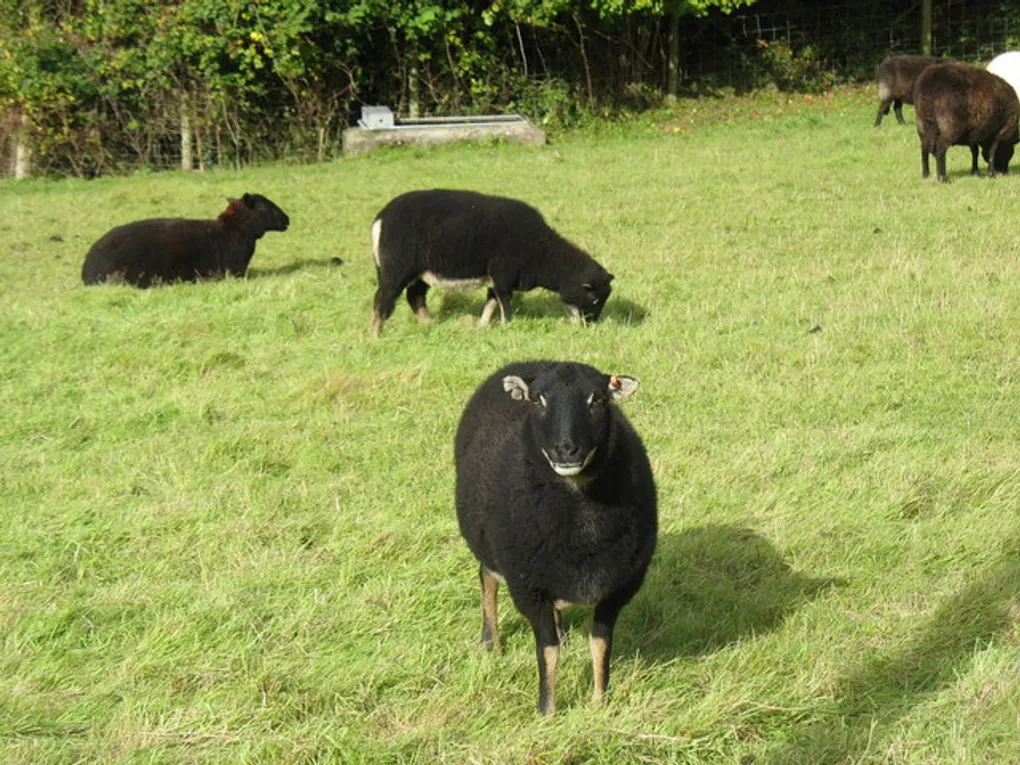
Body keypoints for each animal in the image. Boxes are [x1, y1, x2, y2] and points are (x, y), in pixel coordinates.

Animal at [373, 189, 616, 334]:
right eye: (594, 299)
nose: (590, 325)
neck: (542, 253)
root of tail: (381, 219)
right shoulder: (503, 276)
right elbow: (505, 303)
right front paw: (506, 326)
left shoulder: (495, 278)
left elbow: (490, 303)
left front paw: (482, 326)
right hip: (396, 269)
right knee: (383, 299)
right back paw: (376, 333)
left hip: (420, 272)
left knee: (414, 296)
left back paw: (428, 323)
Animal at [452, 363, 656, 718]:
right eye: (537, 400)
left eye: (598, 399)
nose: (566, 449)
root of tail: (527, 361)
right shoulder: (529, 589)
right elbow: (547, 652)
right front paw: (546, 711)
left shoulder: (618, 587)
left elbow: (601, 644)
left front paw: (600, 703)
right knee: (487, 578)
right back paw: (490, 642)